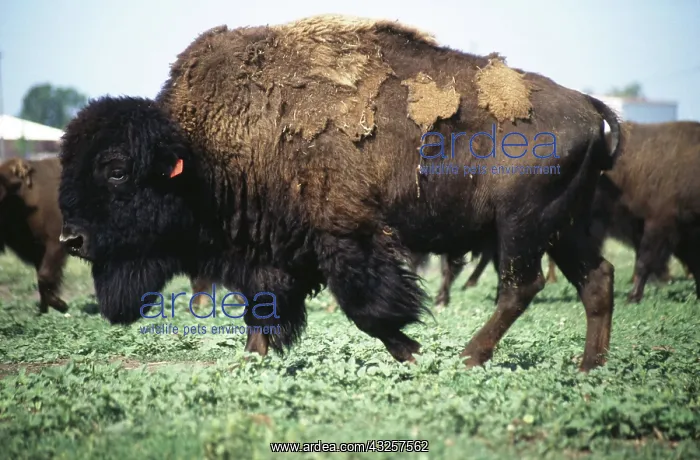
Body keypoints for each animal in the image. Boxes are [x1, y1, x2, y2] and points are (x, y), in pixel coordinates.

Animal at [57, 15, 622, 371]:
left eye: (115, 170)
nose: (71, 239)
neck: (198, 151)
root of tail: (591, 105)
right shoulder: (269, 256)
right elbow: (262, 311)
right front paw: (252, 362)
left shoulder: (346, 237)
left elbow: (368, 309)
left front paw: (414, 352)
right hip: (562, 229)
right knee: (595, 280)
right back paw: (587, 367)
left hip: (522, 228)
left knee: (521, 287)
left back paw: (468, 357)